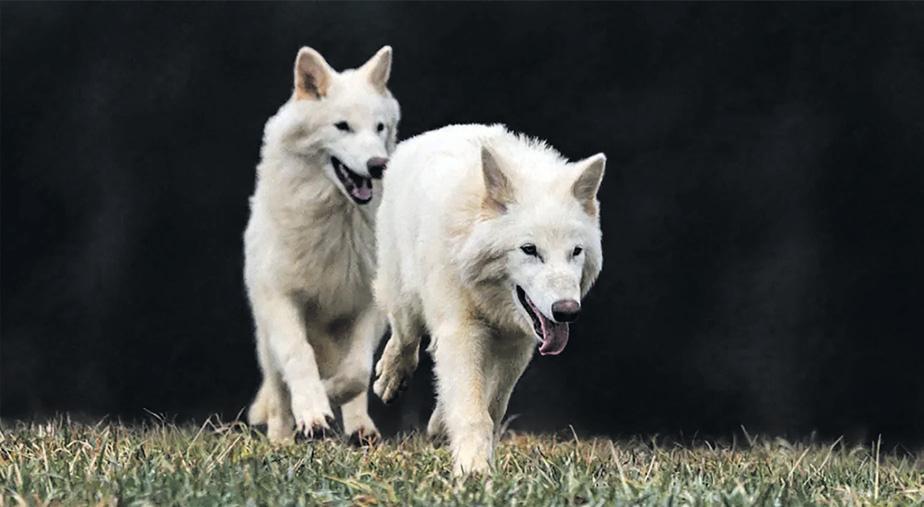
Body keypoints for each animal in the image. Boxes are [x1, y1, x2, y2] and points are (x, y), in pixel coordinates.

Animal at [244, 46, 400, 443]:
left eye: (379, 127)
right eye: (342, 126)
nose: (378, 165)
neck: (338, 221)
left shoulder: (369, 305)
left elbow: (358, 371)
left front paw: (330, 394)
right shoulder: (282, 300)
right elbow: (300, 357)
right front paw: (313, 413)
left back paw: (361, 430)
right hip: (265, 335)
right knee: (278, 387)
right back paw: (282, 436)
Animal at [372, 124, 605, 474]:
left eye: (575, 251)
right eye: (529, 249)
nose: (566, 311)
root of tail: (436, 133)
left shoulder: (517, 344)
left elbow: (492, 408)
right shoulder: (462, 330)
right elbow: (472, 411)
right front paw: (473, 469)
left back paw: (439, 423)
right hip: (406, 299)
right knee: (405, 338)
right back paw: (390, 377)